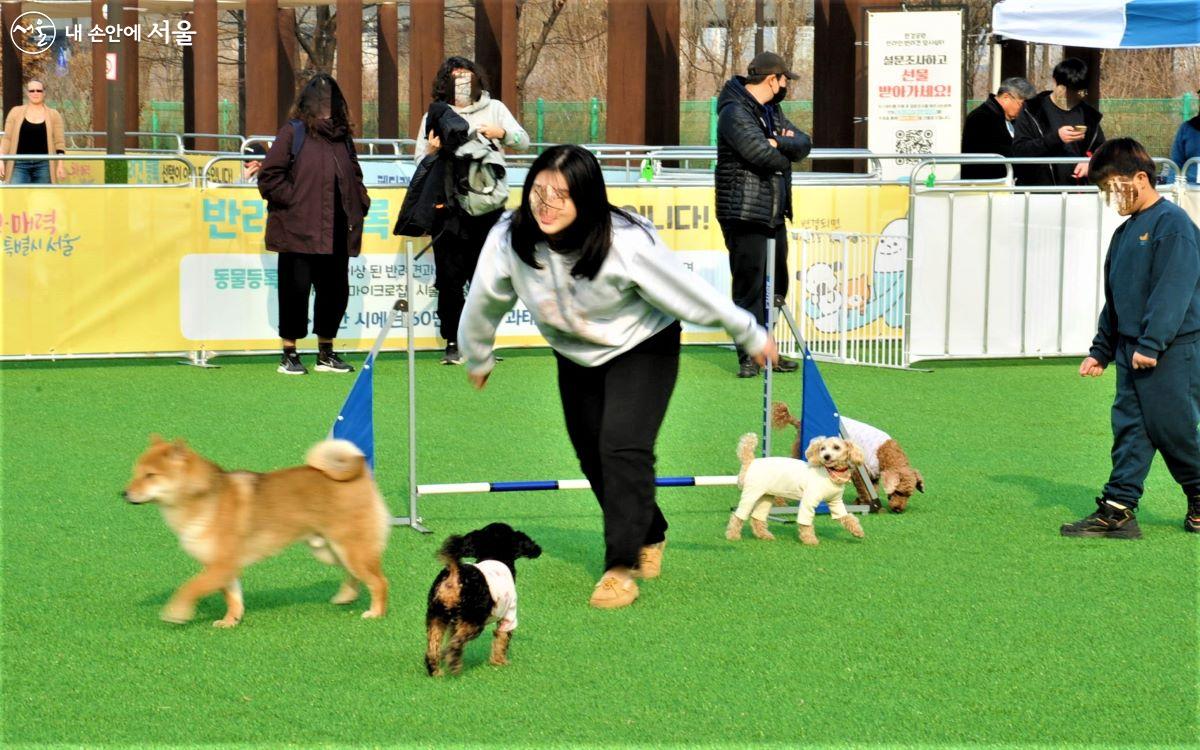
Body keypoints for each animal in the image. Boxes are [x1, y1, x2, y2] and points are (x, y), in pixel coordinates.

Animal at [120, 432, 388, 624]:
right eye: (135, 473)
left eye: (150, 475)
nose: (124, 493)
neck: (203, 499)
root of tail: (361, 474)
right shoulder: (222, 567)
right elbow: (232, 597)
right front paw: (230, 621)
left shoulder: (222, 565)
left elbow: (190, 587)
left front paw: (176, 611)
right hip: (329, 551)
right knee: (354, 575)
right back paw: (346, 596)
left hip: (350, 548)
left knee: (378, 581)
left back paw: (375, 613)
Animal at [424, 523, 542, 676]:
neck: (495, 555)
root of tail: (456, 574)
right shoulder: (509, 615)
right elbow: (502, 639)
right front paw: (499, 661)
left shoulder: (454, 622)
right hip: (474, 620)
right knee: (456, 643)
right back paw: (454, 664)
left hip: (437, 615)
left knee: (433, 647)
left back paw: (436, 671)